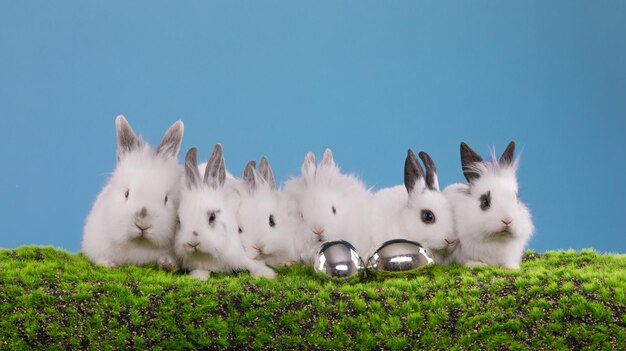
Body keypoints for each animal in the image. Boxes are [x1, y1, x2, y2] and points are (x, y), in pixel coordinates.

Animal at [174, 144, 274, 282]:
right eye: (179, 220)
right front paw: (198, 277)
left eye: (212, 217)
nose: (192, 242)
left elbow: (253, 264)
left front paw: (267, 274)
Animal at [442, 141, 532, 270]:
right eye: (485, 201)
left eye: (516, 198)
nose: (507, 220)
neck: (495, 238)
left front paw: (511, 267)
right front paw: (477, 265)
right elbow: (466, 260)